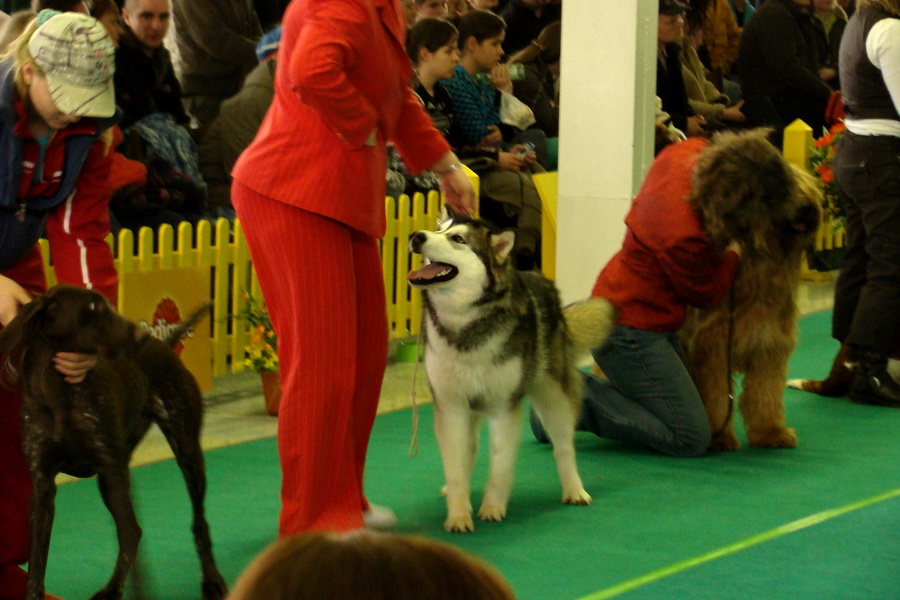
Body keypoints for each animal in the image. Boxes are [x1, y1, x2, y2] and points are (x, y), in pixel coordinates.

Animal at [406, 209, 612, 532]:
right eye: (440, 230)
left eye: (458, 239)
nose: (417, 236)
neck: (466, 324)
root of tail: (540, 278)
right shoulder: (451, 405)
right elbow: (455, 464)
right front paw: (459, 514)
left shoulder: (504, 405)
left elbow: (501, 461)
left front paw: (492, 506)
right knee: (469, 449)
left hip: (552, 397)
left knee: (563, 446)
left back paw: (574, 490)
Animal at [684, 131, 824, 450]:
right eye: (787, 189)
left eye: (809, 188)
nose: (807, 208)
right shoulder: (713, 347)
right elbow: (715, 397)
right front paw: (720, 437)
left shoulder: (768, 345)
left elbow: (765, 393)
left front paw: (771, 433)